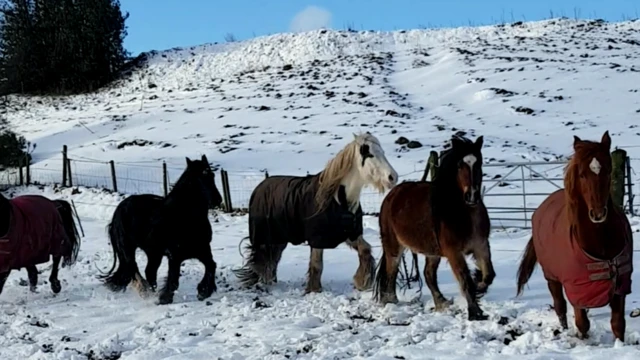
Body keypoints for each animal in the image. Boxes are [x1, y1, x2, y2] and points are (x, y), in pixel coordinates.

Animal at [97, 155, 222, 304]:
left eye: (212, 175)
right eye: (197, 179)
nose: (217, 200)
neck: (186, 217)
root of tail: (120, 208)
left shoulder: (203, 250)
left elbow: (212, 266)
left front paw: (203, 292)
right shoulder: (175, 256)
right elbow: (173, 281)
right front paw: (164, 299)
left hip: (153, 253)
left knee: (149, 271)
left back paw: (151, 292)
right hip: (129, 249)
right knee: (134, 268)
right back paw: (145, 292)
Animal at [232, 134, 398, 294]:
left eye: (382, 152)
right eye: (369, 154)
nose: (393, 177)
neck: (337, 199)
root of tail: (259, 187)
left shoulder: (349, 234)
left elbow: (365, 250)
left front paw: (361, 281)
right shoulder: (317, 239)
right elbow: (317, 265)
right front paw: (314, 289)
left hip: (279, 239)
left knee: (273, 259)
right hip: (265, 237)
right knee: (262, 260)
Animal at [370, 134, 496, 320]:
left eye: (479, 163)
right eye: (460, 165)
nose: (471, 196)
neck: (464, 214)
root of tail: (391, 196)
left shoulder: (481, 246)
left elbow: (488, 276)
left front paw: (479, 286)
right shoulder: (453, 252)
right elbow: (465, 280)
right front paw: (475, 312)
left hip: (432, 252)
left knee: (428, 274)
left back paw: (441, 302)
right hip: (394, 245)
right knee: (391, 271)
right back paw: (391, 301)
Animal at [516, 131, 632, 342]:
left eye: (609, 171)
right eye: (582, 174)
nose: (598, 214)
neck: (600, 242)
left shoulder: (620, 286)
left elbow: (618, 325)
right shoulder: (576, 288)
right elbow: (582, 323)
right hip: (551, 277)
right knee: (560, 306)